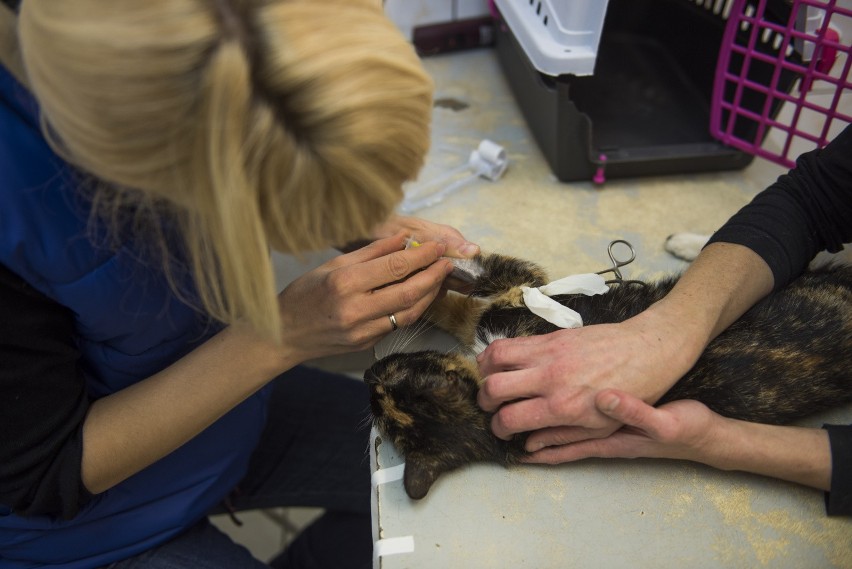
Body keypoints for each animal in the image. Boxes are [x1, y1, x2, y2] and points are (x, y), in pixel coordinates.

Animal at [366, 252, 852, 496]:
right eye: (379, 403)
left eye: (393, 371)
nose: (369, 370)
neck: (485, 414)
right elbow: (467, 306)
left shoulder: (525, 293)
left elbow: (476, 284)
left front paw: (420, 269)